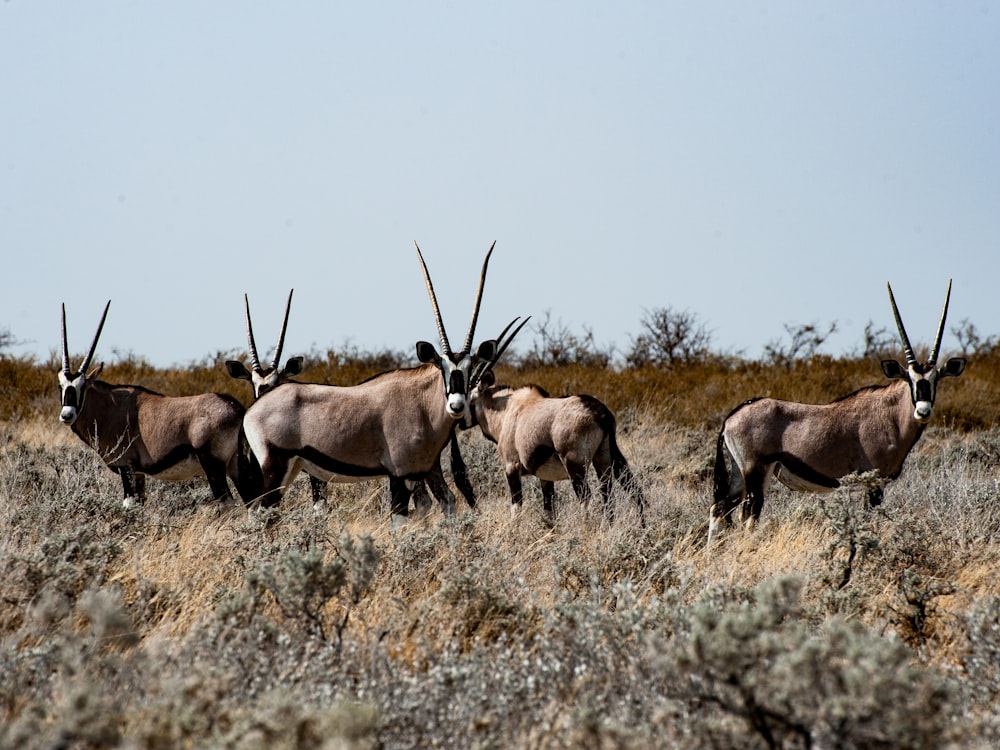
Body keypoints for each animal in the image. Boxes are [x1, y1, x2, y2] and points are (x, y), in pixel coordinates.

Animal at [58, 302, 254, 508]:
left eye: (82, 387)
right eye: (61, 385)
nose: (67, 415)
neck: (109, 407)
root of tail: (237, 408)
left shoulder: (126, 467)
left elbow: (128, 505)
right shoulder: (139, 474)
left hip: (214, 467)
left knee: (228, 503)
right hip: (237, 466)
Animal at [462, 320, 644, 524]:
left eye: (467, 397)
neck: (506, 408)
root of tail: (600, 413)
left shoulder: (511, 467)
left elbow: (516, 509)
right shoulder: (545, 478)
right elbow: (549, 513)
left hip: (575, 464)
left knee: (587, 499)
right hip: (606, 458)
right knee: (624, 493)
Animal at [708, 280, 964, 548]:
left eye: (935, 380)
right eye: (911, 380)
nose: (923, 410)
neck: (890, 414)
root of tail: (731, 417)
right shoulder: (873, 482)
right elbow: (869, 520)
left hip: (740, 474)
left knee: (719, 508)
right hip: (756, 473)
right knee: (747, 518)